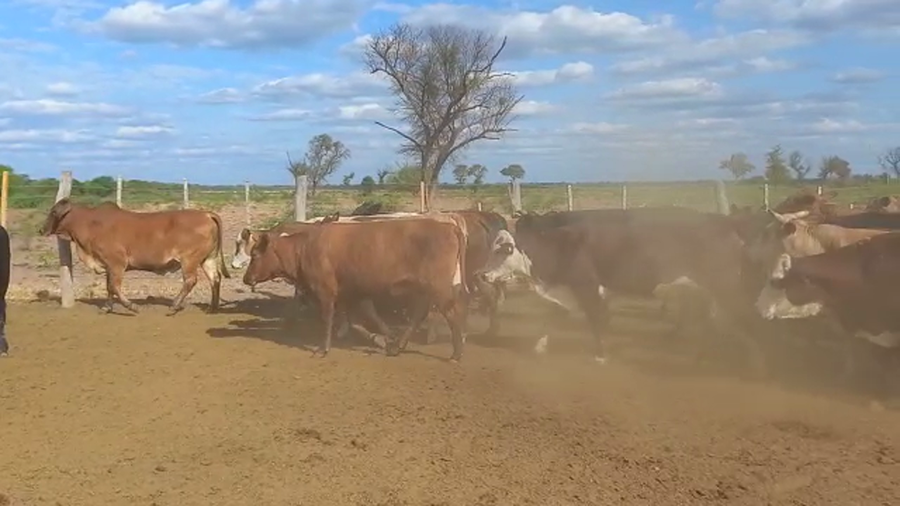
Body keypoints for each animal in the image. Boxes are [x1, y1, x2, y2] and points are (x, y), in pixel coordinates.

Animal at [38, 198, 231, 314]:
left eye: (54, 212)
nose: (41, 230)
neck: (90, 224)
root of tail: (206, 214)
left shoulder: (117, 263)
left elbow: (114, 287)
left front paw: (132, 306)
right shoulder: (109, 266)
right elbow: (109, 287)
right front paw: (107, 308)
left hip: (189, 260)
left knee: (191, 281)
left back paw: (174, 305)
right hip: (207, 259)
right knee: (215, 278)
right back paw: (212, 308)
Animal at [242, 218, 469, 361]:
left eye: (255, 255)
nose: (245, 278)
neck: (304, 249)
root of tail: (448, 227)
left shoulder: (326, 292)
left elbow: (328, 319)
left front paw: (322, 349)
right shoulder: (350, 293)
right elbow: (360, 318)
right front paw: (385, 338)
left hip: (439, 288)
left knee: (453, 313)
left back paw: (456, 354)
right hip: (424, 289)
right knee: (419, 314)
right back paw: (398, 346)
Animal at [478, 208, 763, 370]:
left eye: (503, 250)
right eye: (492, 247)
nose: (482, 274)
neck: (561, 245)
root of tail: (725, 223)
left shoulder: (588, 288)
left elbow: (596, 321)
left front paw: (601, 356)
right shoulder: (569, 290)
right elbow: (554, 317)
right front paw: (539, 348)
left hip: (726, 286)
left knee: (747, 316)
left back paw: (755, 364)